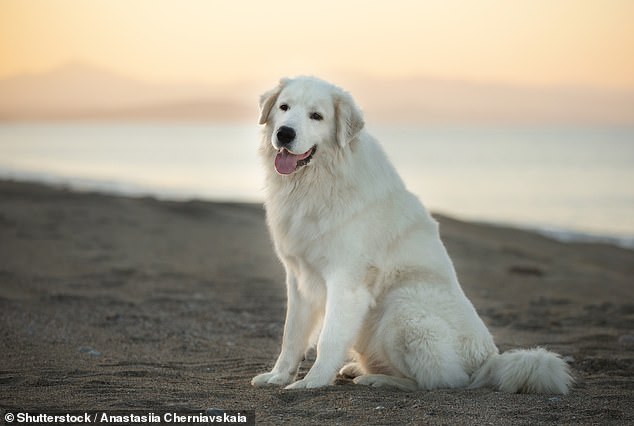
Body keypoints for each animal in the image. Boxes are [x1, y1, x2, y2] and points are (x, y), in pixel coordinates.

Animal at [249, 76, 572, 392]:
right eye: (284, 107)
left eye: (316, 116)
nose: (284, 134)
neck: (317, 182)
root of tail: (488, 360)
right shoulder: (299, 277)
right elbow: (291, 335)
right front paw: (278, 376)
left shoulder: (347, 281)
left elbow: (329, 339)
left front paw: (312, 382)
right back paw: (359, 369)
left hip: (401, 307)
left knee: (436, 380)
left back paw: (377, 379)